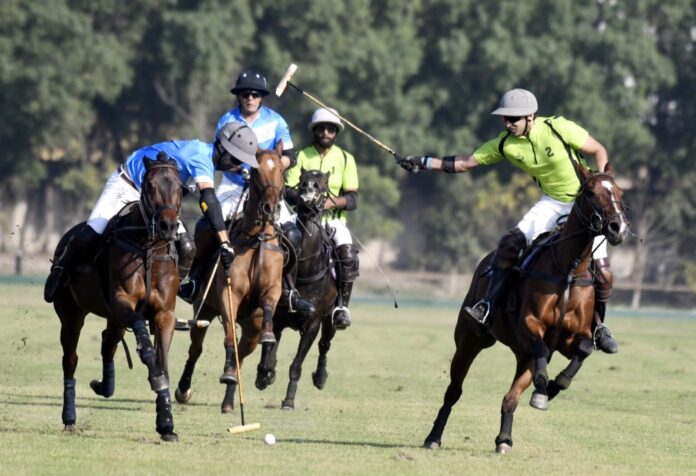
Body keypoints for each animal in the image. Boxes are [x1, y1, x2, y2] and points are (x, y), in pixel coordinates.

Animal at [51, 156, 182, 442]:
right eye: (150, 186)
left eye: (179, 188)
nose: (168, 226)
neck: (149, 248)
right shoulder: (123, 301)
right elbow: (146, 344)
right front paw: (153, 373)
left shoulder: (165, 314)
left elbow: (164, 363)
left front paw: (166, 424)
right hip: (72, 316)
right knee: (70, 360)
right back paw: (69, 418)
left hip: (113, 318)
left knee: (107, 342)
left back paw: (104, 386)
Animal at [175, 143, 286, 410]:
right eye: (255, 173)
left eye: (282, 171)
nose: (270, 209)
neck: (257, 239)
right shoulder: (229, 295)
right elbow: (227, 339)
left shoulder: (272, 291)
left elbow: (268, 309)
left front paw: (269, 340)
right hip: (204, 311)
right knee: (196, 348)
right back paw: (185, 389)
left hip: (250, 327)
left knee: (242, 355)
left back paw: (229, 400)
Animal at [424, 164, 632, 454]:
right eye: (590, 192)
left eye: (620, 192)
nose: (617, 227)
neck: (569, 269)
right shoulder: (529, 325)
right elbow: (542, 348)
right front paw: (543, 389)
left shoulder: (571, 337)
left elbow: (584, 348)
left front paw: (554, 386)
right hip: (470, 340)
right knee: (454, 390)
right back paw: (433, 437)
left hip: (522, 356)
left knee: (510, 397)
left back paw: (504, 439)